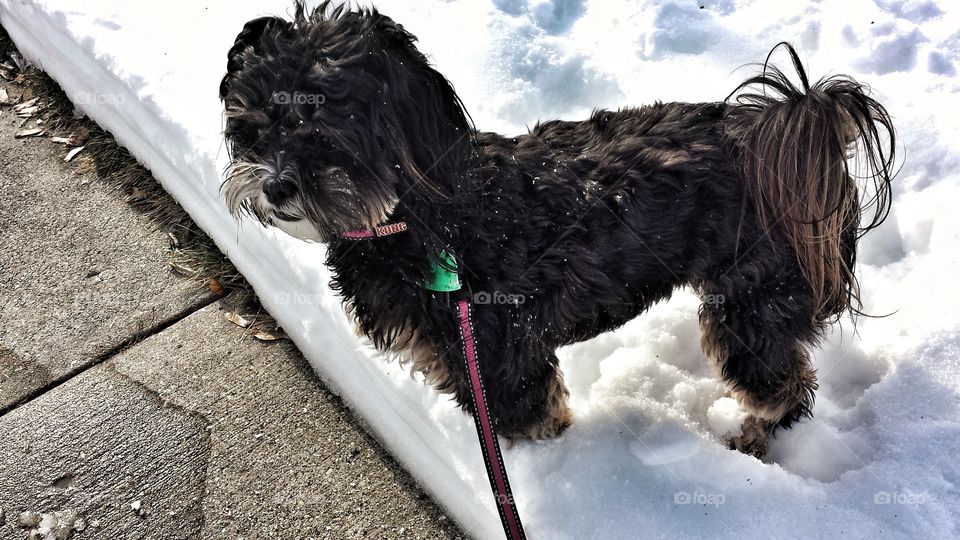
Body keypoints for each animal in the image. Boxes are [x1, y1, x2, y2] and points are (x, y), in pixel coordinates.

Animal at [218, 2, 892, 456]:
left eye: (326, 125)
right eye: (252, 123)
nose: (276, 187)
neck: (419, 213)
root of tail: (784, 129)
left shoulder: (497, 354)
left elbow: (529, 418)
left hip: (753, 299)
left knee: (783, 386)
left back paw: (749, 437)